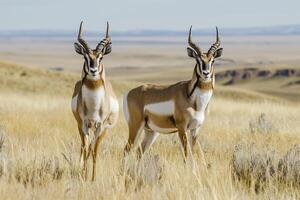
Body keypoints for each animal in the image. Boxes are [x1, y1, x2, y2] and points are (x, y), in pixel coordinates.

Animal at [71, 21, 118, 181]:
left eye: (101, 57)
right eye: (85, 57)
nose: (93, 71)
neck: (93, 106)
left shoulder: (100, 126)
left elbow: (94, 150)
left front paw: (92, 178)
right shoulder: (84, 124)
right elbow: (86, 149)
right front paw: (84, 175)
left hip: (105, 129)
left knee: (92, 146)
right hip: (79, 126)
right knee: (82, 146)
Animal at [122, 27, 223, 161]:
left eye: (213, 60)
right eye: (198, 60)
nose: (206, 73)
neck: (193, 100)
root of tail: (128, 93)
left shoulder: (195, 129)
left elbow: (193, 153)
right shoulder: (182, 128)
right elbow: (186, 155)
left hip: (151, 131)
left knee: (139, 152)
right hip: (136, 127)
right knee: (126, 151)